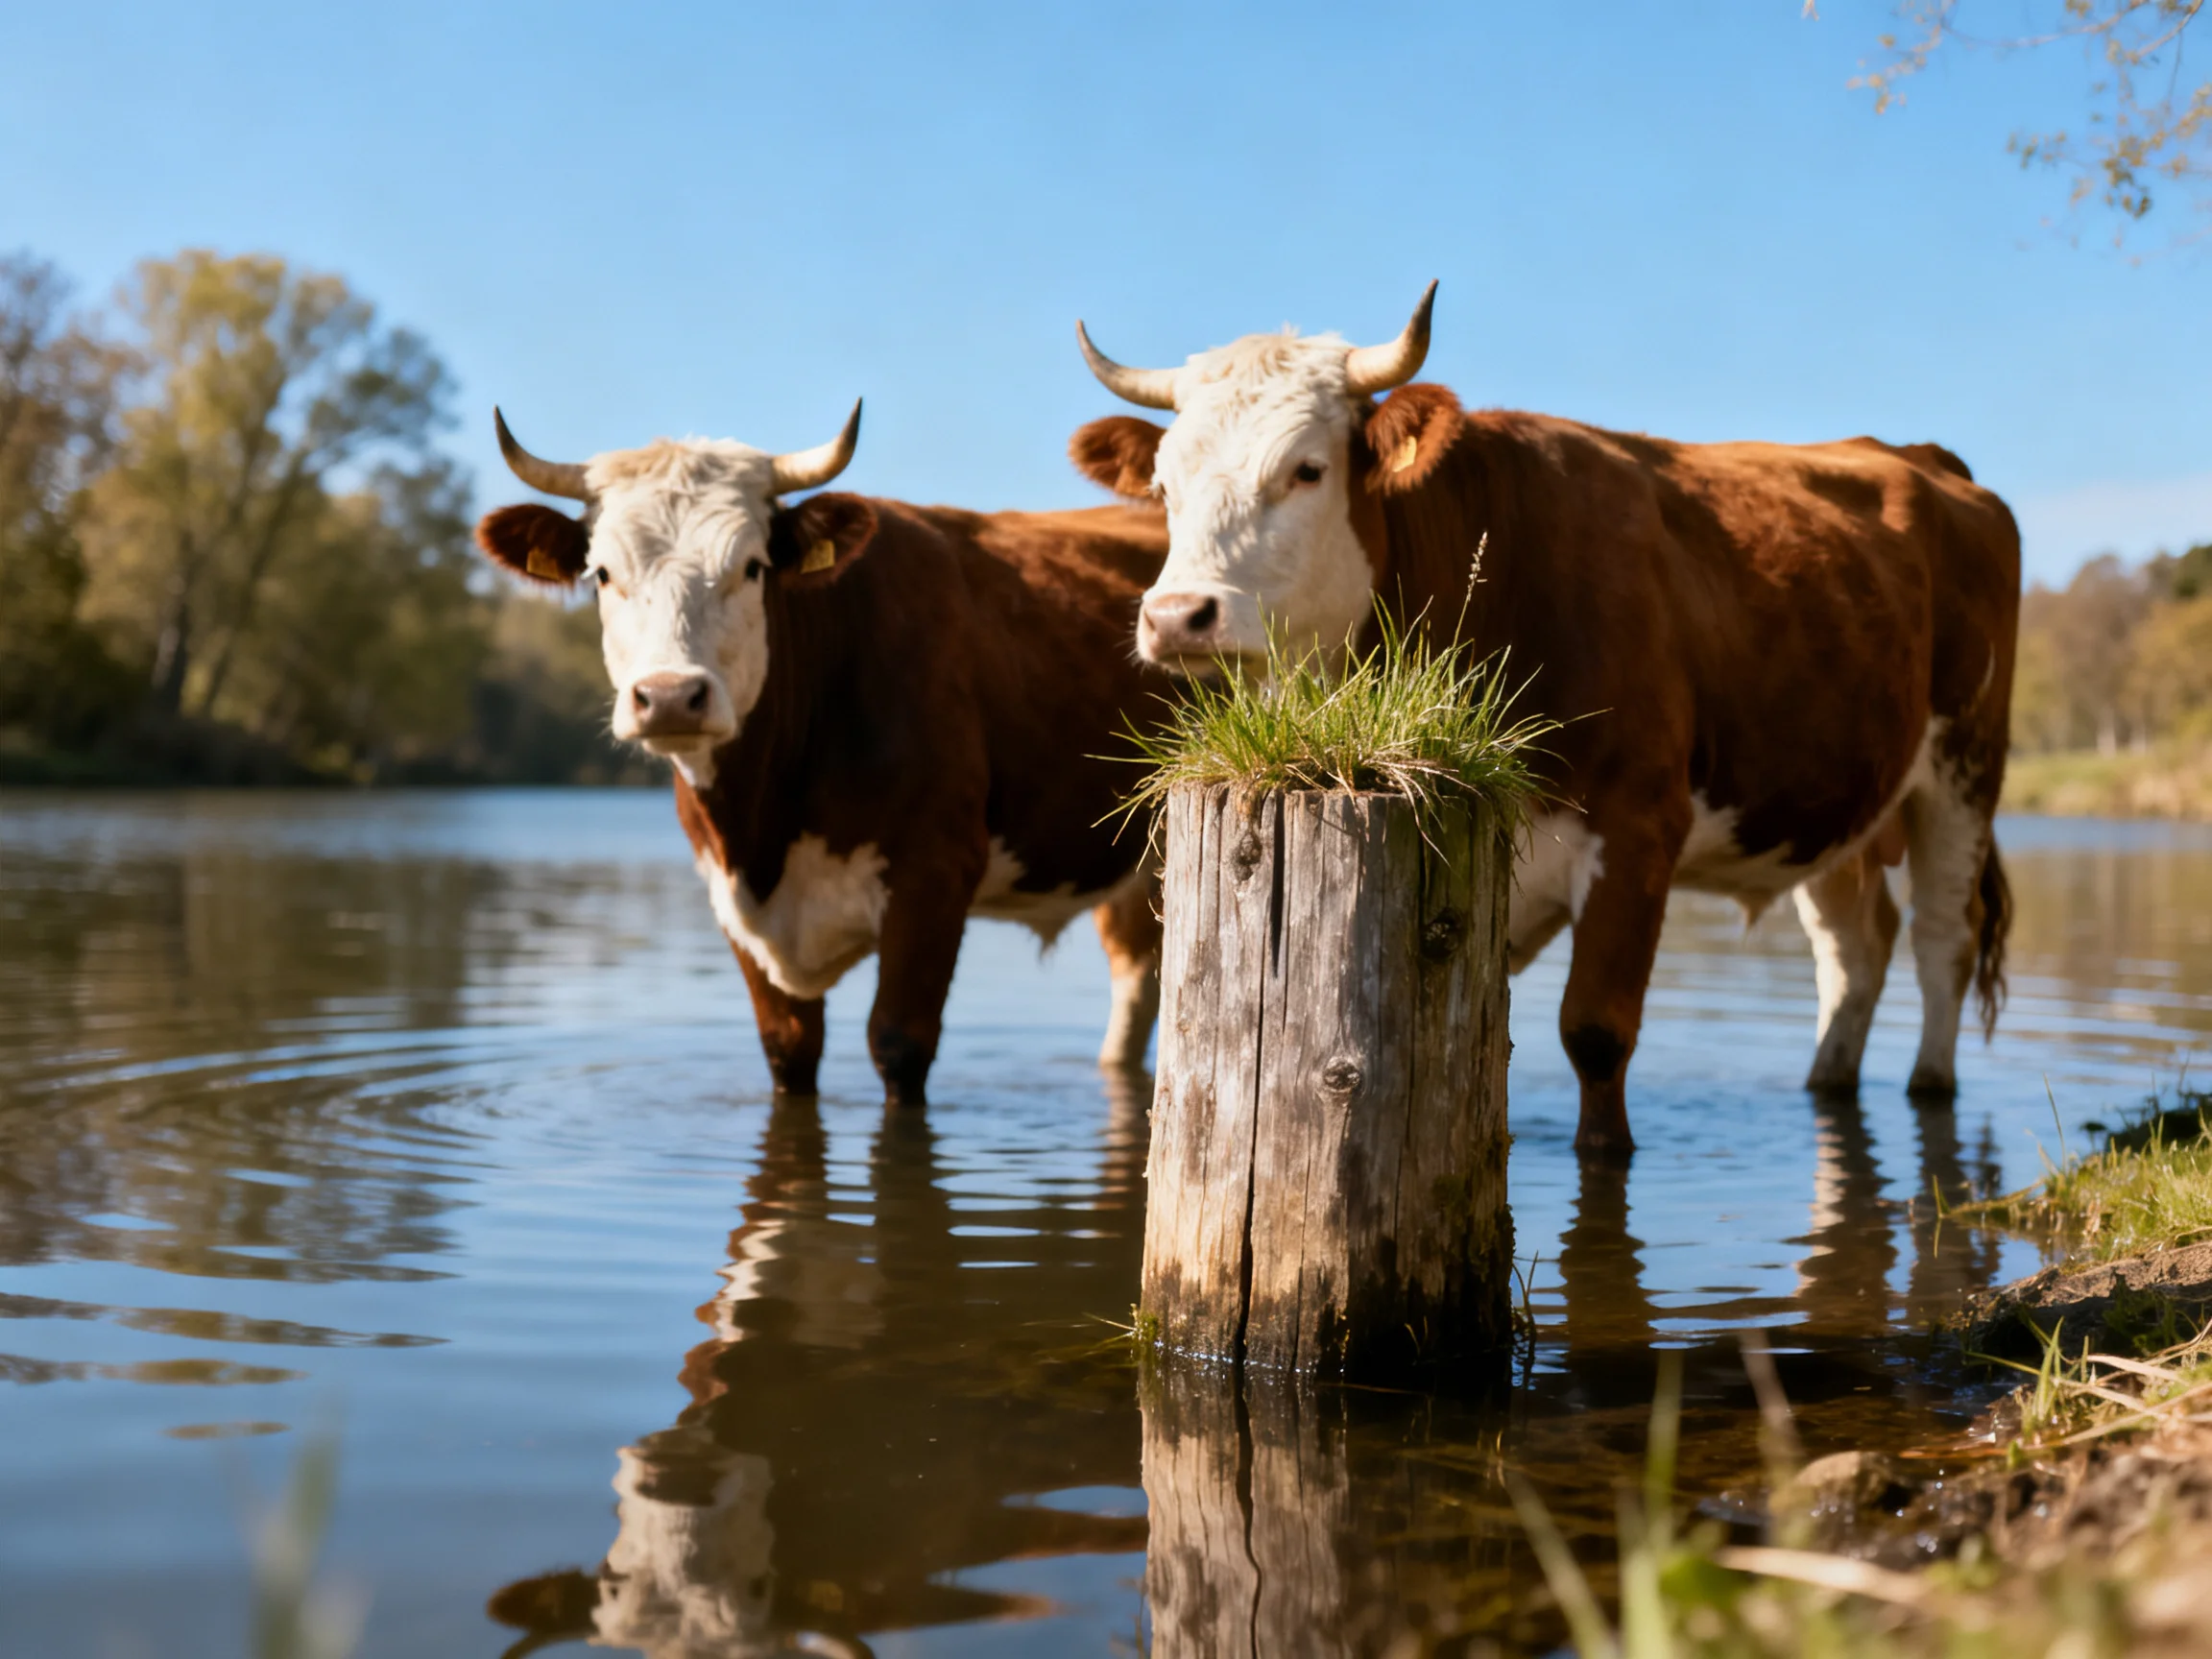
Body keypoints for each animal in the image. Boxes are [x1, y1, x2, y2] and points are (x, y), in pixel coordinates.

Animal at [473, 404, 1173, 1105]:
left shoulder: (936, 872)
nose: (671, 697)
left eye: (752, 567)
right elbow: (788, 1049)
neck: (764, 826)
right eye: (603, 574)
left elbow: (898, 1043)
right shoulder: (734, 903)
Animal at [1068, 284, 2020, 1159]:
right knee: (1855, 948)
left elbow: (1595, 1037)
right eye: (1163, 486)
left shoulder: (1639, 827)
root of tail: (1919, 457)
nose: (1177, 616)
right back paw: (1828, 1081)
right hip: (1831, 798)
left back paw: (1930, 1082)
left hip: (1964, 771)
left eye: (1306, 469)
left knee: (1943, 940)